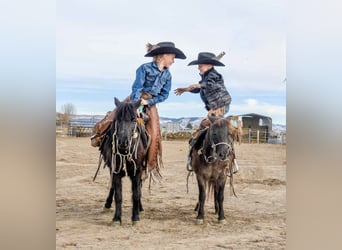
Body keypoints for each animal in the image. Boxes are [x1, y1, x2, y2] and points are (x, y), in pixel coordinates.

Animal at [98, 97, 148, 225]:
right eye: (117, 119)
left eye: (134, 120)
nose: (122, 142)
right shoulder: (115, 170)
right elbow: (118, 195)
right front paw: (116, 218)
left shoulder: (137, 171)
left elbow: (136, 193)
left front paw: (135, 217)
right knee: (112, 187)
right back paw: (107, 204)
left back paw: (140, 208)